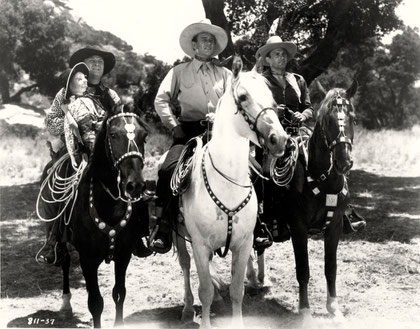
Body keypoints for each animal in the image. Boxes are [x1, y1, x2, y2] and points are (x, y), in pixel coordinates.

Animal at [37, 102, 150, 326]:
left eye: (144, 136)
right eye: (113, 135)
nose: (135, 185)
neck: (109, 205)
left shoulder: (123, 255)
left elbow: (119, 294)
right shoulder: (88, 260)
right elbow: (96, 303)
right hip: (60, 238)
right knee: (64, 261)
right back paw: (65, 303)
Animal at [175, 57, 288, 326]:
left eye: (272, 98)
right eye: (243, 96)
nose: (279, 139)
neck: (226, 184)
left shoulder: (244, 243)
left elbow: (238, 290)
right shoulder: (199, 244)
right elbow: (204, 290)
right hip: (179, 237)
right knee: (185, 266)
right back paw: (187, 308)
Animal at [248, 80, 360, 322]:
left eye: (353, 119)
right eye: (327, 120)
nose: (343, 162)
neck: (322, 180)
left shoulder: (335, 226)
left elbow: (331, 267)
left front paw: (333, 308)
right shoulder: (298, 227)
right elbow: (303, 269)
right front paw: (305, 310)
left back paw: (262, 279)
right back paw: (251, 279)